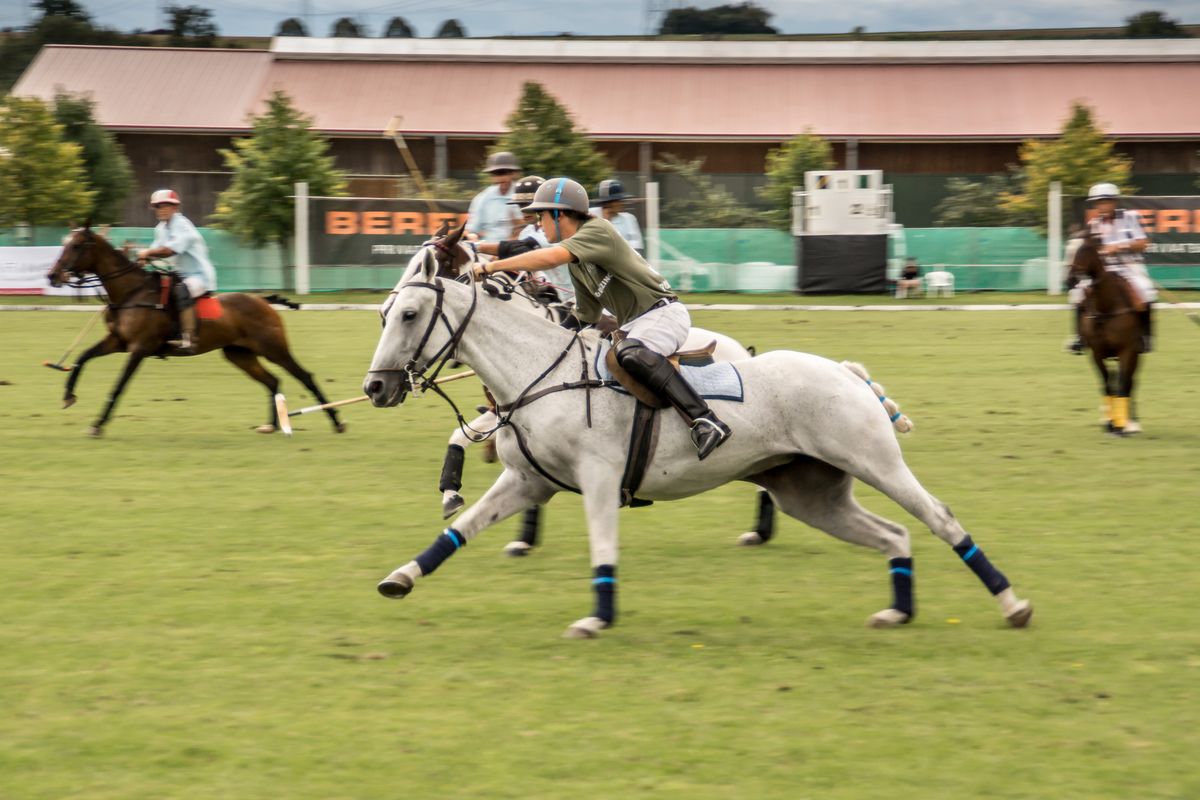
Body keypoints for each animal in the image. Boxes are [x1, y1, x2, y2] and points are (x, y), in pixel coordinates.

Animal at [46, 225, 345, 438]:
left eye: (75, 245)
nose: (52, 276)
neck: (131, 293)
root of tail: (263, 301)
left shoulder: (139, 348)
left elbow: (118, 386)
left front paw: (97, 425)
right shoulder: (117, 341)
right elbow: (82, 357)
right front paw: (68, 396)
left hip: (274, 348)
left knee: (304, 376)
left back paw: (337, 422)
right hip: (239, 353)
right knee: (272, 381)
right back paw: (272, 425)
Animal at [364, 248, 1032, 638]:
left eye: (409, 315)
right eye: (384, 314)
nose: (375, 387)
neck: (540, 370)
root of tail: (846, 372)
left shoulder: (599, 478)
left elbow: (602, 546)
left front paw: (599, 616)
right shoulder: (528, 481)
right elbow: (460, 528)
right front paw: (401, 577)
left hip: (874, 460)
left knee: (940, 519)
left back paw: (1012, 605)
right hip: (811, 493)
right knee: (894, 535)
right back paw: (899, 609)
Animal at [1070, 236, 1142, 438]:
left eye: (1084, 251)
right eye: (1069, 250)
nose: (1069, 279)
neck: (1106, 308)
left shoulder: (1127, 350)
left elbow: (1123, 384)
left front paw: (1121, 427)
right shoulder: (1097, 353)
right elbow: (1107, 385)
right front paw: (1110, 424)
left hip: (1135, 355)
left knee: (1130, 382)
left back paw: (1131, 424)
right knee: (1116, 381)